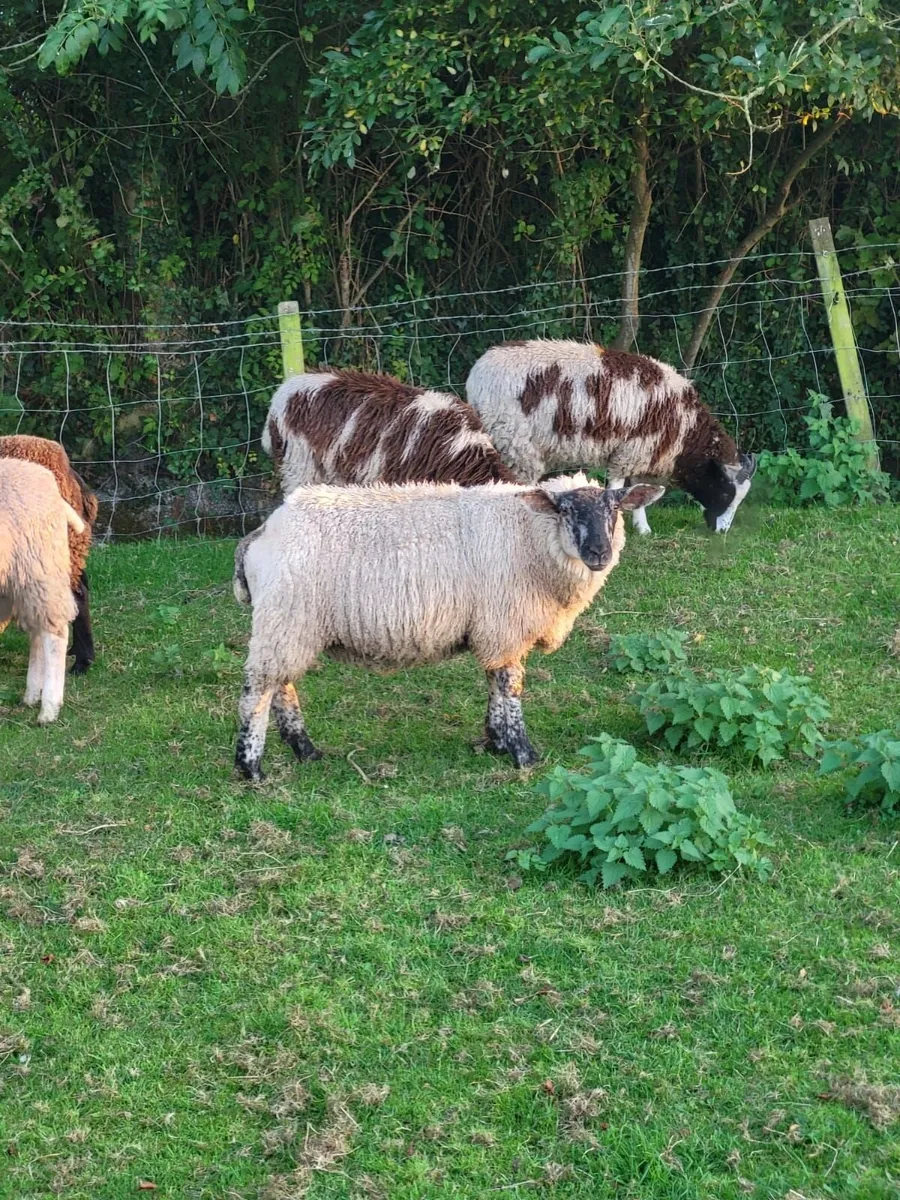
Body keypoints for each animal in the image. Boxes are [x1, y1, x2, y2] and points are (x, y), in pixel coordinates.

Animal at [0, 458, 86, 723]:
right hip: (19, 582)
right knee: (37, 633)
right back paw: (31, 695)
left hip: (40, 569)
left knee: (54, 634)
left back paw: (48, 708)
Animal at [231, 474, 664, 779]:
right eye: (566, 511)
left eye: (614, 510)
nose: (599, 553)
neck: (528, 534)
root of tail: (260, 534)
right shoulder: (504, 625)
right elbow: (511, 686)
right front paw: (523, 754)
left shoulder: (493, 629)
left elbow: (494, 682)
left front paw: (495, 741)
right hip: (287, 617)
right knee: (257, 691)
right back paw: (251, 767)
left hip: (289, 624)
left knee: (281, 685)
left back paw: (306, 750)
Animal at [464, 339, 757, 535]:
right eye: (725, 492)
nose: (721, 532)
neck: (686, 431)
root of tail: (477, 374)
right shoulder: (629, 450)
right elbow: (617, 486)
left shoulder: (643, 452)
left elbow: (639, 487)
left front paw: (643, 528)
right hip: (514, 441)